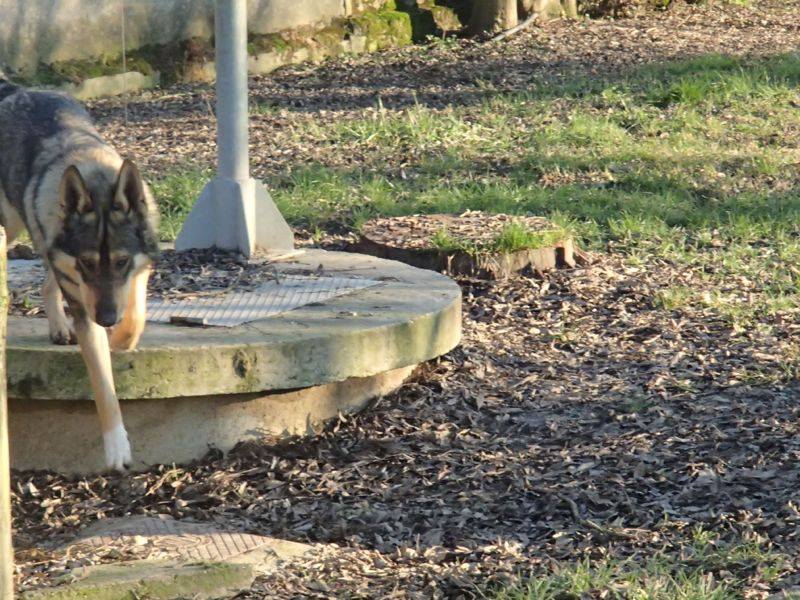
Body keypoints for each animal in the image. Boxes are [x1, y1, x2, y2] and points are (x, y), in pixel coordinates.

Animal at [0, 79, 160, 472]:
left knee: (47, 281)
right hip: (12, 225)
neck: (96, 177)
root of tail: (17, 89)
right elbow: (103, 384)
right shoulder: (84, 303)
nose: (106, 319)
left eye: (120, 262)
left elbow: (135, 316)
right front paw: (116, 449)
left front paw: (121, 338)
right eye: (87, 263)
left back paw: (61, 328)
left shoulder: (139, 270)